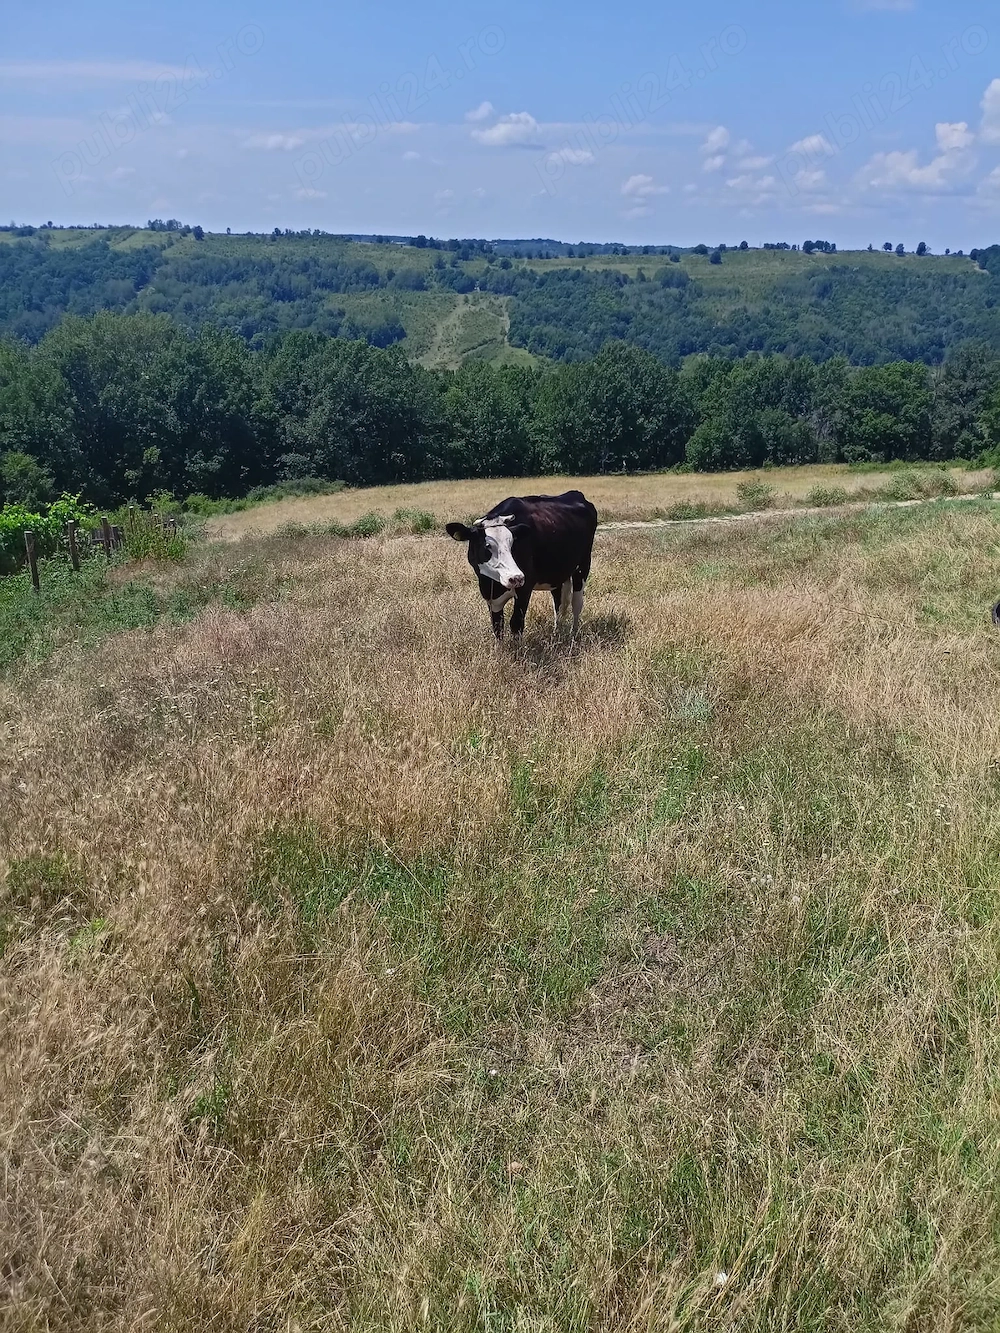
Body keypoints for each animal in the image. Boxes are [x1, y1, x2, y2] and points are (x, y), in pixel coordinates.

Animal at [446, 490, 598, 639]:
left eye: (512, 543)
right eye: (487, 546)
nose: (516, 577)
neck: (492, 584)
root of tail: (576, 494)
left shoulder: (525, 588)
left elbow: (516, 623)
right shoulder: (489, 595)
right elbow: (497, 625)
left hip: (583, 566)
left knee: (576, 603)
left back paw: (574, 633)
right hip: (558, 573)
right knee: (559, 605)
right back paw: (557, 635)